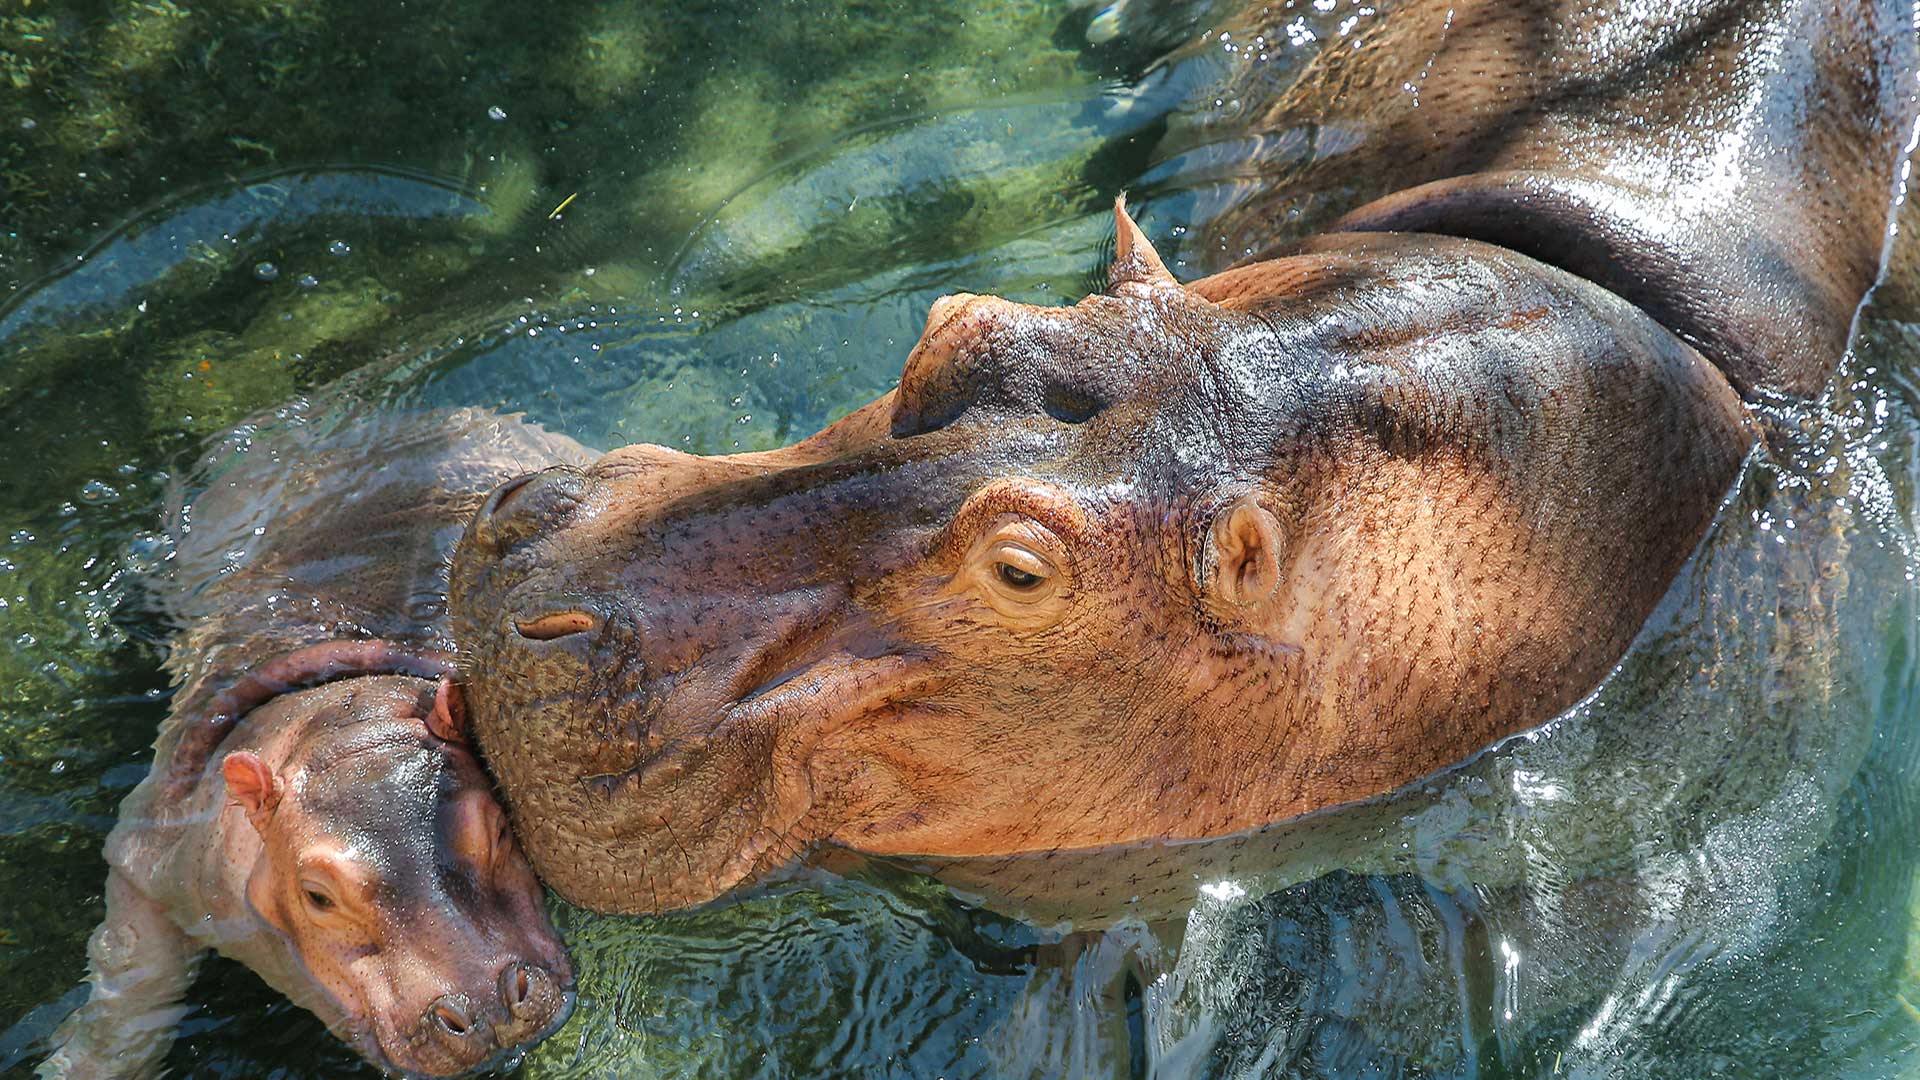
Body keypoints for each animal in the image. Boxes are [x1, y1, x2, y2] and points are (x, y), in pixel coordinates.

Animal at [42, 404, 588, 1078]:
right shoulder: (149, 853)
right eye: (317, 896)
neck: (336, 714)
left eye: (501, 829)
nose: (484, 1007)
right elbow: (129, 974)